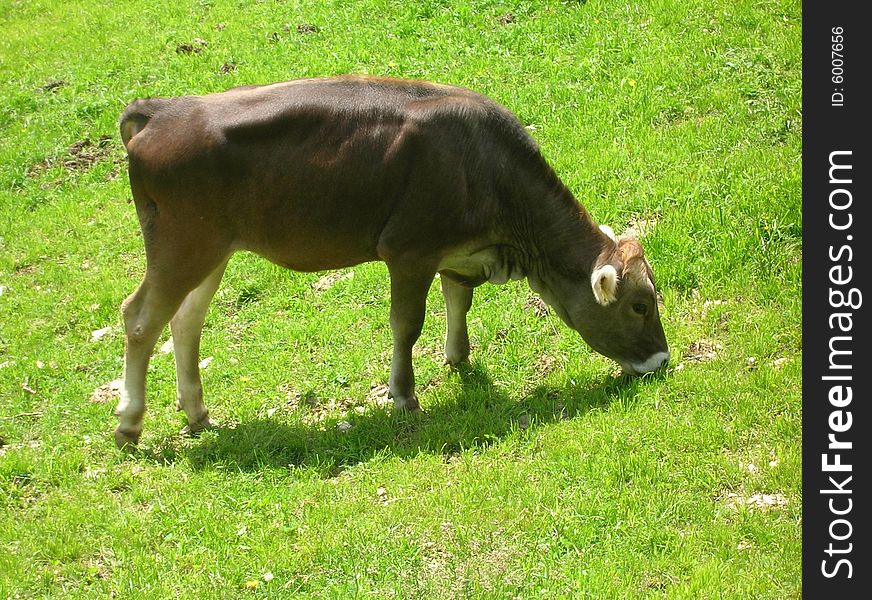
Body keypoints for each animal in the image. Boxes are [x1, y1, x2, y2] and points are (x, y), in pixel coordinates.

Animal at [114, 75, 668, 448]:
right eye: (640, 305)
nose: (662, 361)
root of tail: (161, 111)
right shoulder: (408, 251)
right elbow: (407, 324)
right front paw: (405, 395)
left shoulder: (455, 254)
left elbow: (458, 300)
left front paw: (459, 358)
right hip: (182, 246)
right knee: (140, 318)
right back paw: (129, 423)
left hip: (211, 251)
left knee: (185, 321)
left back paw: (197, 413)